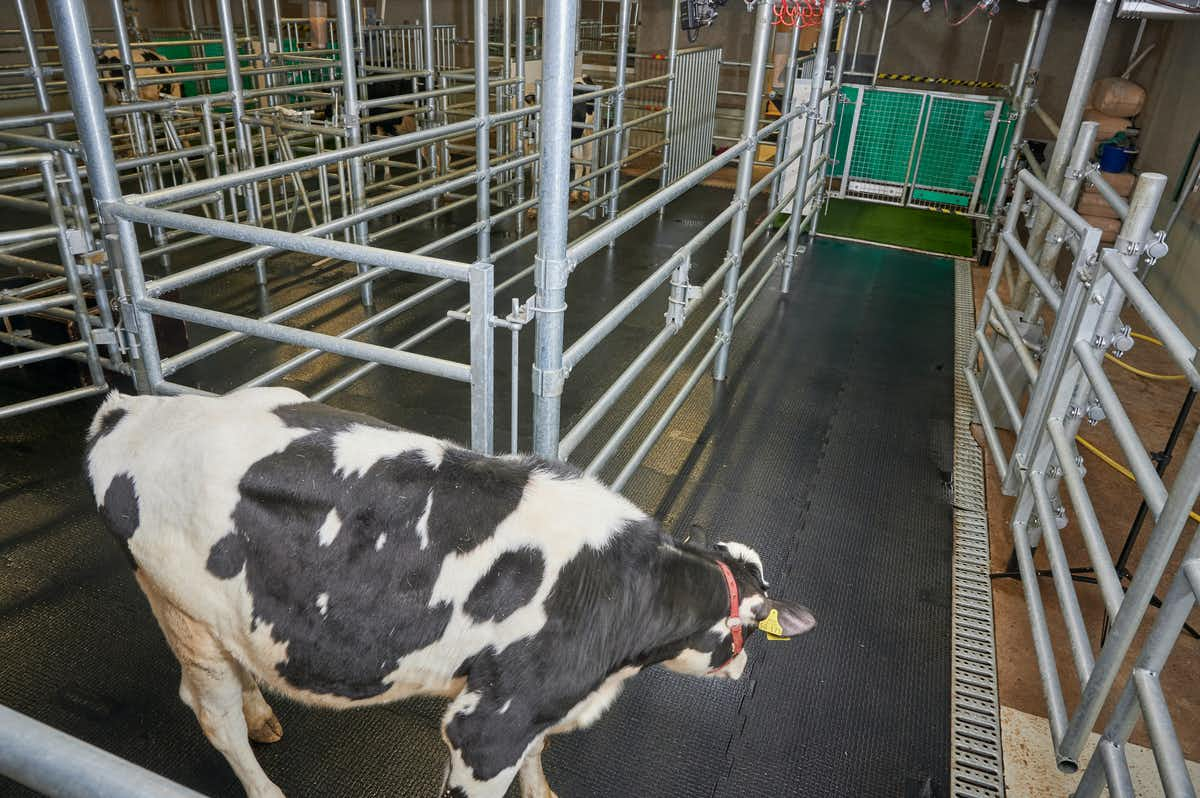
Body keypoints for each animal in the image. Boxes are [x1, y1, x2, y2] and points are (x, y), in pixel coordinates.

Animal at [84, 388, 816, 792]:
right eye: (751, 623)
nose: (745, 667)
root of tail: (132, 408)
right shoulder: (485, 727)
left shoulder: (529, 706)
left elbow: (537, 758)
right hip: (183, 611)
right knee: (212, 713)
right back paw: (263, 782)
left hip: (224, 614)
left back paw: (264, 713)